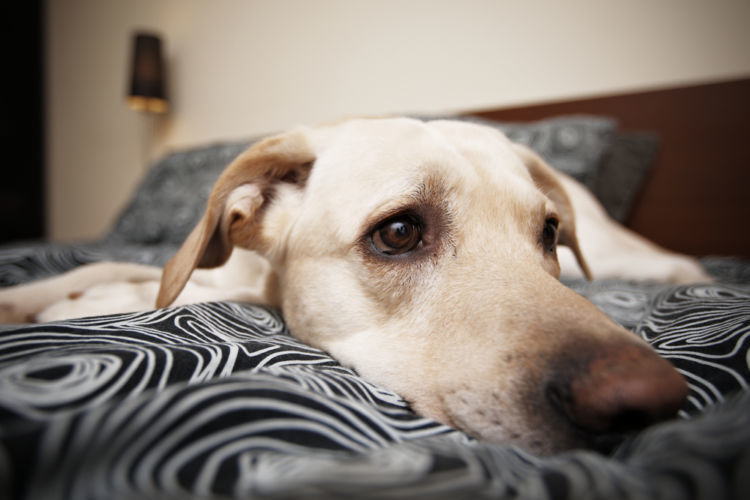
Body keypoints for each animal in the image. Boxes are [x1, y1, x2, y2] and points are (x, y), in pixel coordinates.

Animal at [0, 119, 712, 456]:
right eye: (398, 232)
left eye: (548, 234)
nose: (645, 402)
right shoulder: (210, 268)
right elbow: (104, 270)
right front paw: (30, 297)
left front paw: (88, 303)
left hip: (626, 253)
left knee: (677, 267)